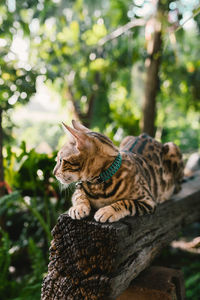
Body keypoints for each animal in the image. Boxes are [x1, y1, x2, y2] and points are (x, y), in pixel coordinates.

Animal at [53, 120, 184, 223]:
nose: (54, 173)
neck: (99, 185)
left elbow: (126, 202)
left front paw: (107, 211)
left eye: (61, 160)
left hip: (173, 148)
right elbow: (78, 196)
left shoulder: (147, 200)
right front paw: (78, 208)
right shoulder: (79, 187)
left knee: (178, 186)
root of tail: (146, 135)